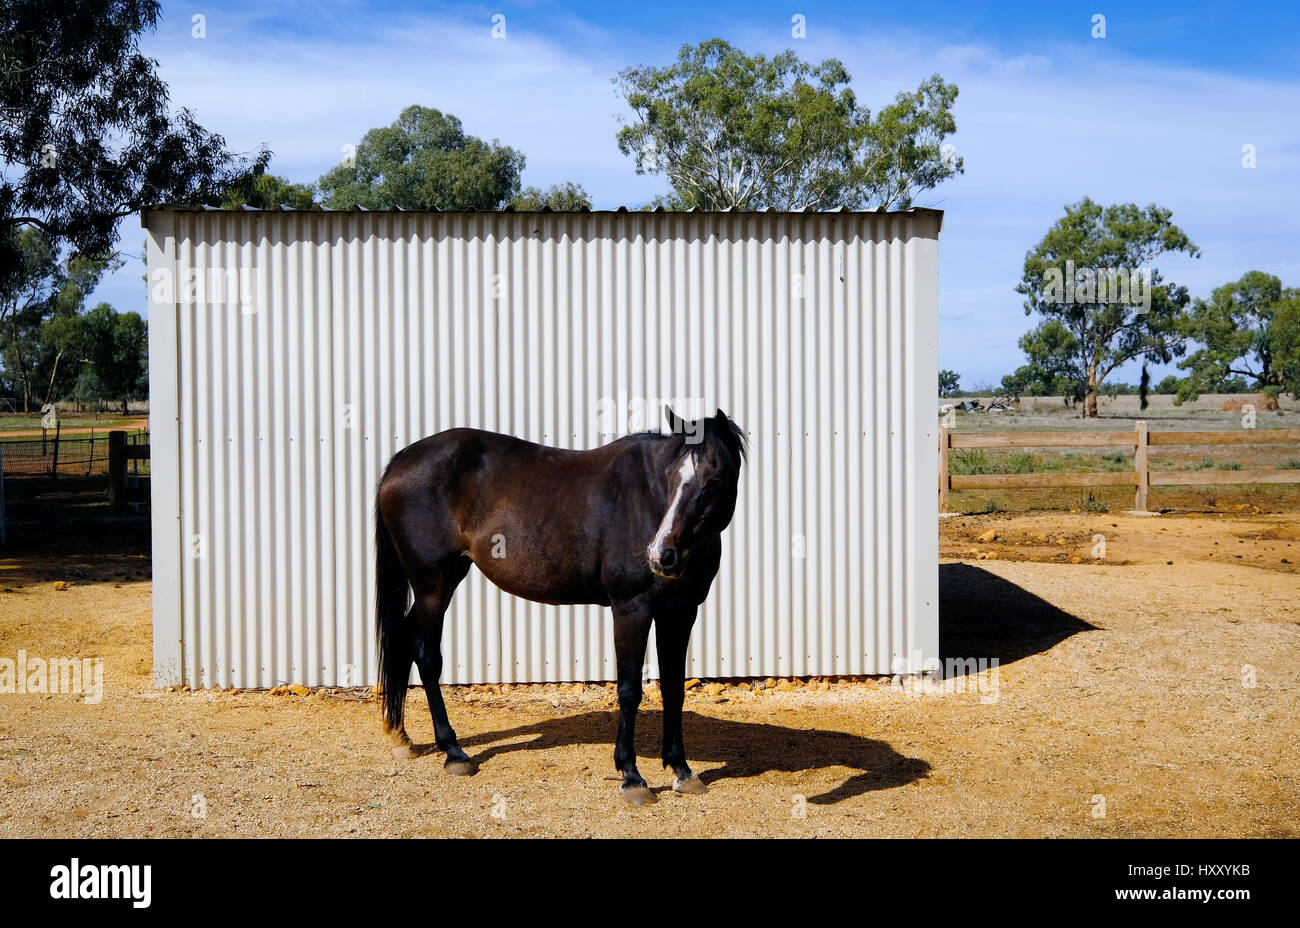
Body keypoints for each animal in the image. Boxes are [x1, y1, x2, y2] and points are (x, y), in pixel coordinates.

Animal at [371, 405, 748, 800]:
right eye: (672, 477)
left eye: (715, 480)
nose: (662, 555)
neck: (646, 498)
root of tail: (401, 460)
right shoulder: (631, 608)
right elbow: (629, 690)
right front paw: (631, 776)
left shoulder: (681, 611)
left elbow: (674, 688)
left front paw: (682, 770)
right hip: (433, 586)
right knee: (427, 656)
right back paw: (453, 752)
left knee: (403, 639)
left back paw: (401, 736)